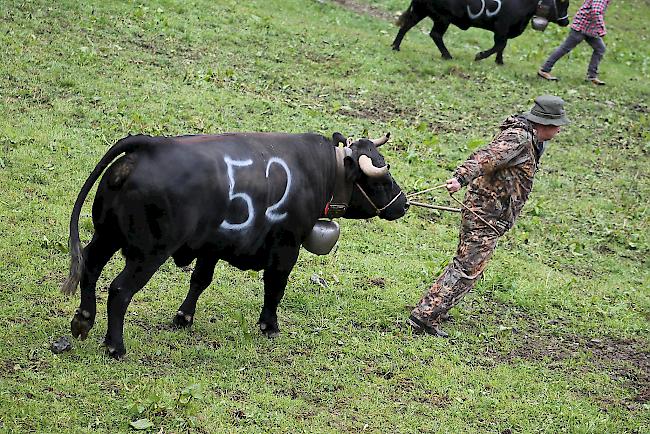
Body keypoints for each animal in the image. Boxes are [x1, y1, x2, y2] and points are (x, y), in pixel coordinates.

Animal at [60, 131, 404, 358]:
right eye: (383, 180)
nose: (404, 204)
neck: (320, 170)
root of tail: (150, 144)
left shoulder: (211, 245)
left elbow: (200, 280)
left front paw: (183, 317)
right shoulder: (286, 246)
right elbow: (275, 287)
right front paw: (269, 326)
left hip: (106, 235)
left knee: (90, 266)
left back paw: (83, 319)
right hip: (148, 253)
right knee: (119, 290)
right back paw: (115, 346)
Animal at [390, 0, 568, 64]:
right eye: (562, 1)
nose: (566, 22)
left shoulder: (505, 30)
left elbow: (502, 46)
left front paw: (499, 61)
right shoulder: (501, 27)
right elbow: (500, 45)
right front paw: (480, 56)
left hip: (421, 10)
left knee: (406, 25)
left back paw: (395, 46)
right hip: (443, 18)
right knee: (435, 34)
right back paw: (447, 55)